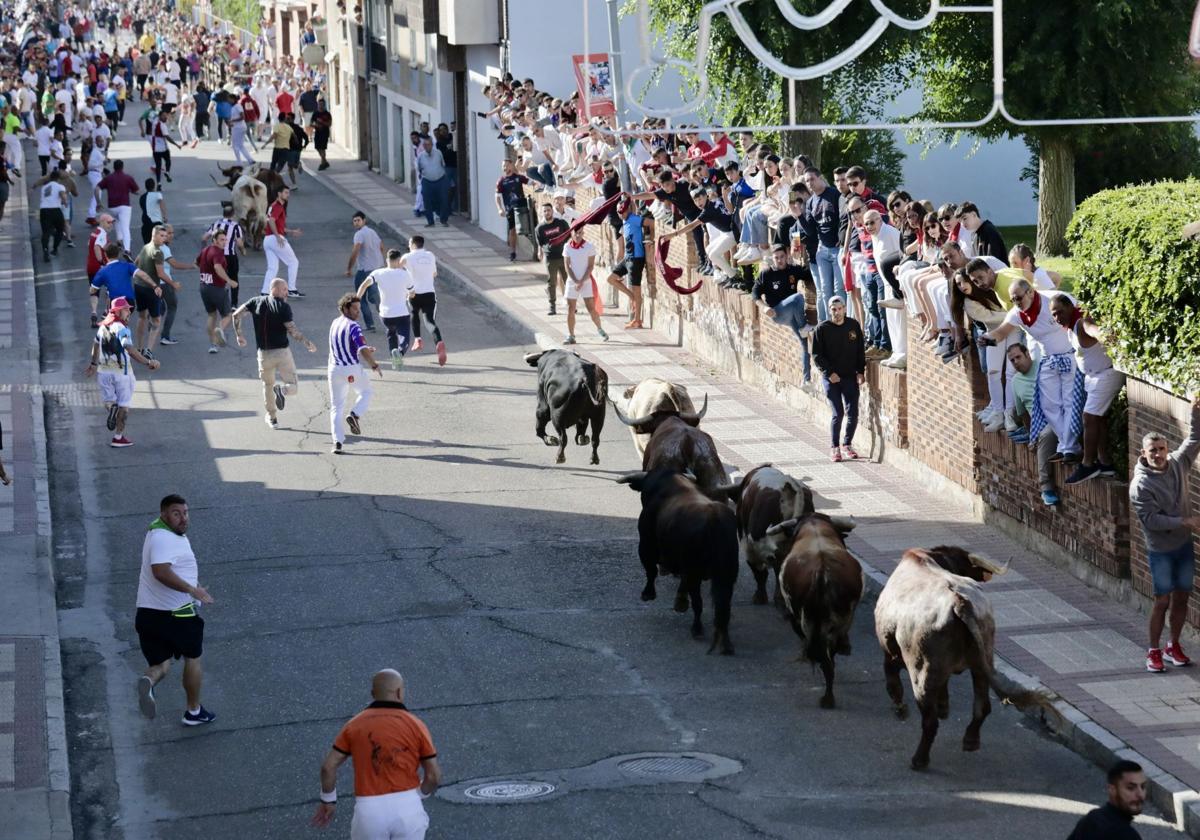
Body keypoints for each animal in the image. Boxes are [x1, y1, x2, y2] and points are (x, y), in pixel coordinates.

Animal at [619, 465, 739, 657]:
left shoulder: (646, 544)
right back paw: (726, 644)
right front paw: (680, 602)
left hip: (695, 571)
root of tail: (714, 518)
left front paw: (648, 593)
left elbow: (651, 570)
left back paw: (697, 629)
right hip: (726, 576)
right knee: (723, 607)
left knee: (699, 603)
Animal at [768, 511, 864, 710]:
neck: (814, 528)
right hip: (841, 619)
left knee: (826, 660)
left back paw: (827, 698)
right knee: (830, 658)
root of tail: (822, 572)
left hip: (808, 620)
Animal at [873, 547, 1060, 772]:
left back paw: (919, 760)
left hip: (921, 671)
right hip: (981, 661)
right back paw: (970, 740)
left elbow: (892, 682)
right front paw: (944, 706)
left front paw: (901, 708)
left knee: (929, 720)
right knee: (982, 706)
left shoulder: (890, 652)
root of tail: (959, 602)